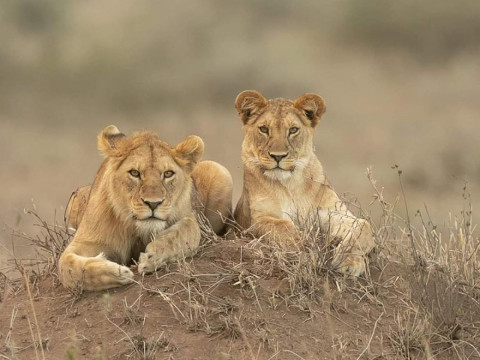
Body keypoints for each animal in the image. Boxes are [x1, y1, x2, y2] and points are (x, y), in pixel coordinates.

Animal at [60, 125, 232, 292]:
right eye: (134, 173)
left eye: (168, 173)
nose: (153, 203)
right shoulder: (86, 241)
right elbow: (66, 266)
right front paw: (118, 273)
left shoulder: (189, 216)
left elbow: (188, 230)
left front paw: (152, 257)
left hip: (219, 171)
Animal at [232, 90, 376, 276]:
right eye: (264, 129)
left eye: (293, 130)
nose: (278, 156)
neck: (290, 184)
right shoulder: (255, 221)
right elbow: (284, 227)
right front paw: (307, 251)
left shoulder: (331, 213)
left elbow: (363, 226)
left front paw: (349, 261)